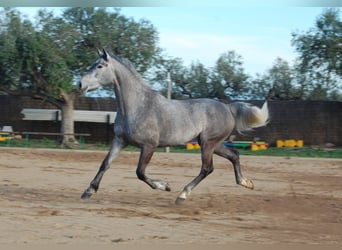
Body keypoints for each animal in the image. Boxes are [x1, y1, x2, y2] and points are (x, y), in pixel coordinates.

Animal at [79, 48, 268, 203]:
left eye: (100, 66)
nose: (80, 84)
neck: (137, 106)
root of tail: (228, 108)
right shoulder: (120, 140)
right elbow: (105, 164)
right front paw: (88, 191)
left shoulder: (149, 146)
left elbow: (140, 172)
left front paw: (164, 186)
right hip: (214, 143)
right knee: (234, 155)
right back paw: (246, 183)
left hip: (208, 143)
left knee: (207, 168)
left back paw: (182, 195)